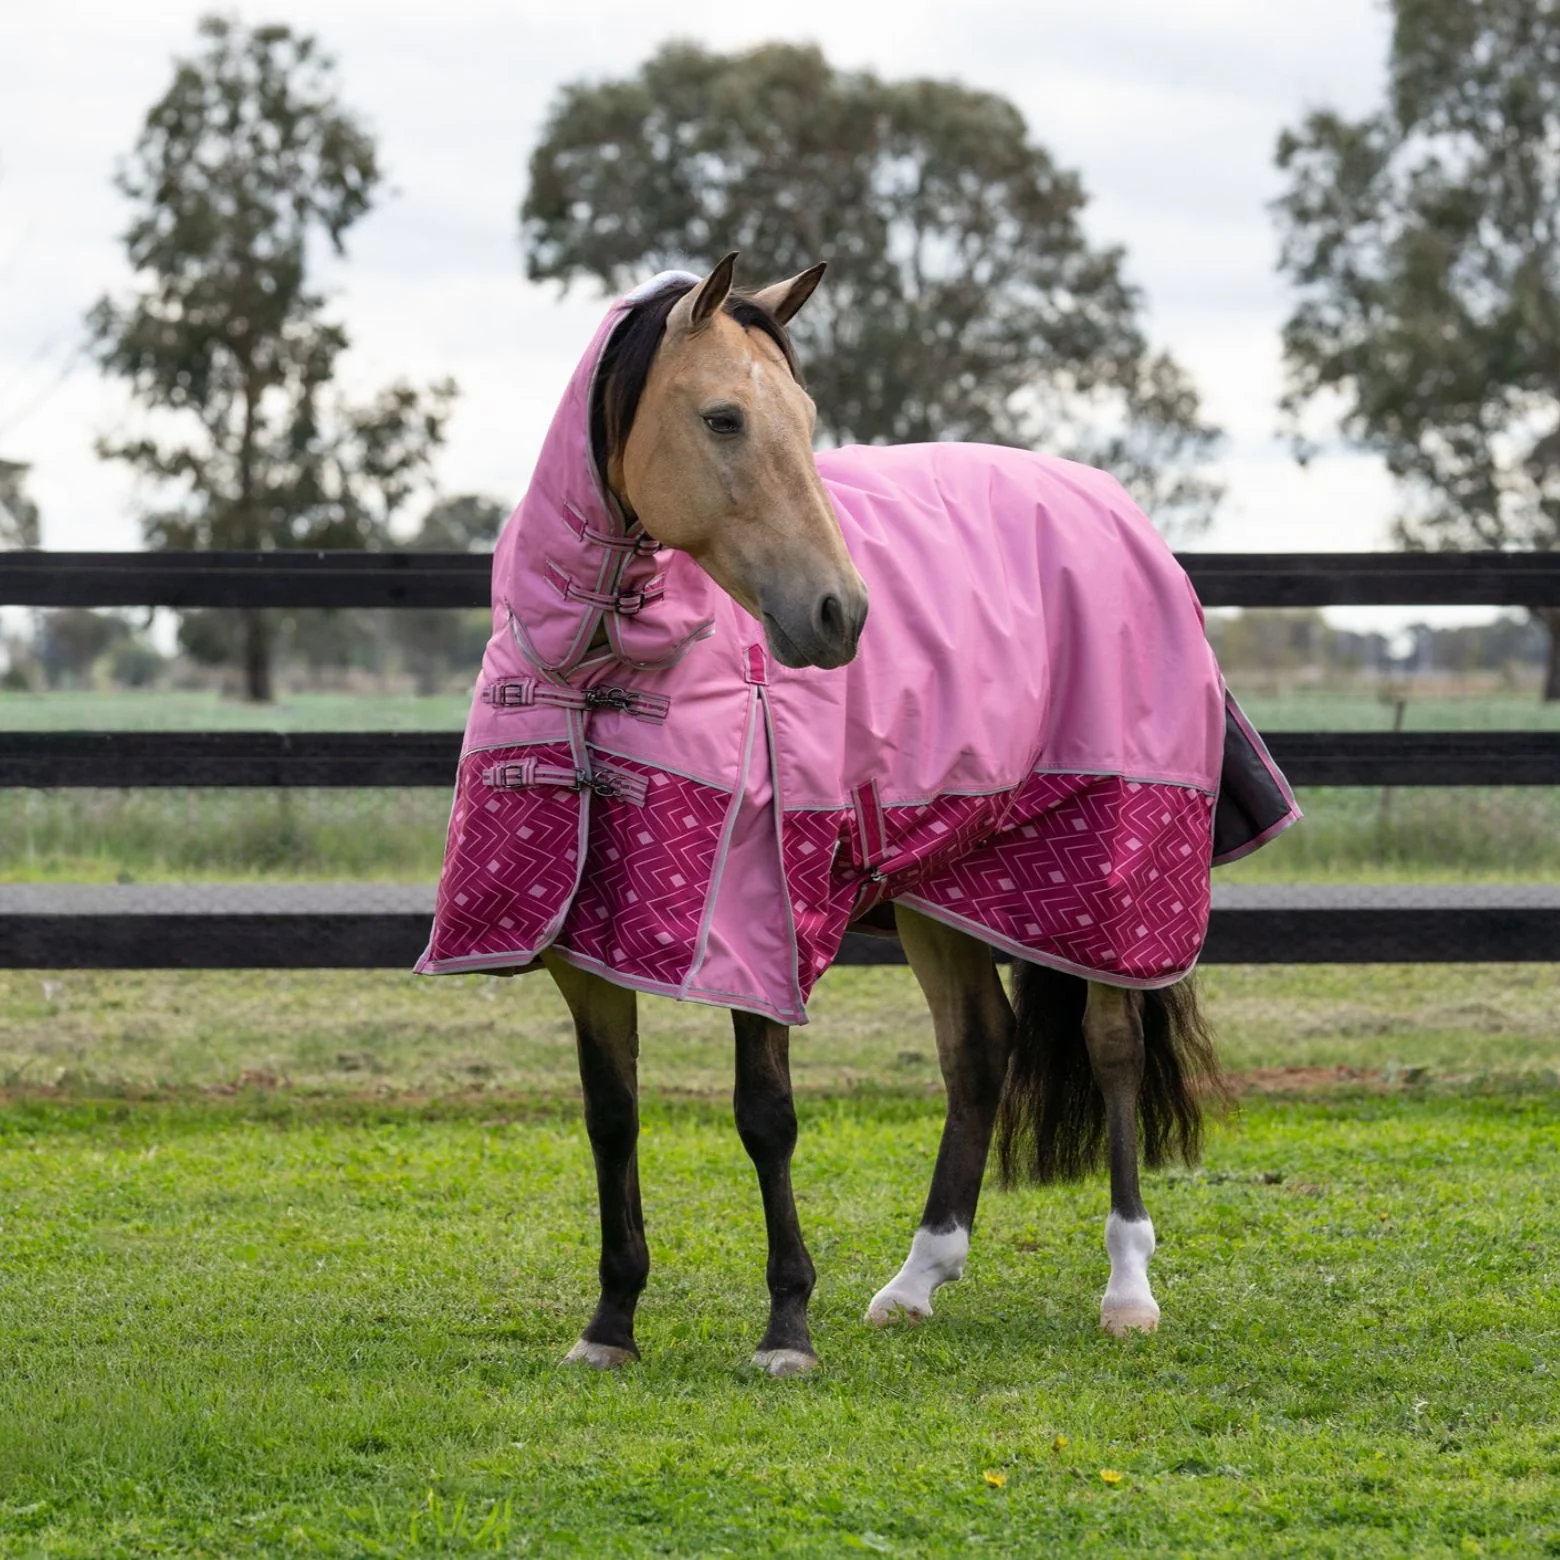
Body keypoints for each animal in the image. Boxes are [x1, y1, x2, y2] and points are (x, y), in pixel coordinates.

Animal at [417, 253, 1299, 1376]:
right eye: (722, 418)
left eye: (803, 416)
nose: (841, 616)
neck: (604, 662)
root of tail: (1117, 511)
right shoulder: (584, 942)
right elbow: (611, 1117)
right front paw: (610, 1323)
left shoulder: (758, 921)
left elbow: (766, 1116)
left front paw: (786, 1327)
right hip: (947, 890)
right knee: (979, 1052)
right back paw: (917, 1280)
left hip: (1111, 876)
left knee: (1112, 1048)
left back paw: (1126, 1288)